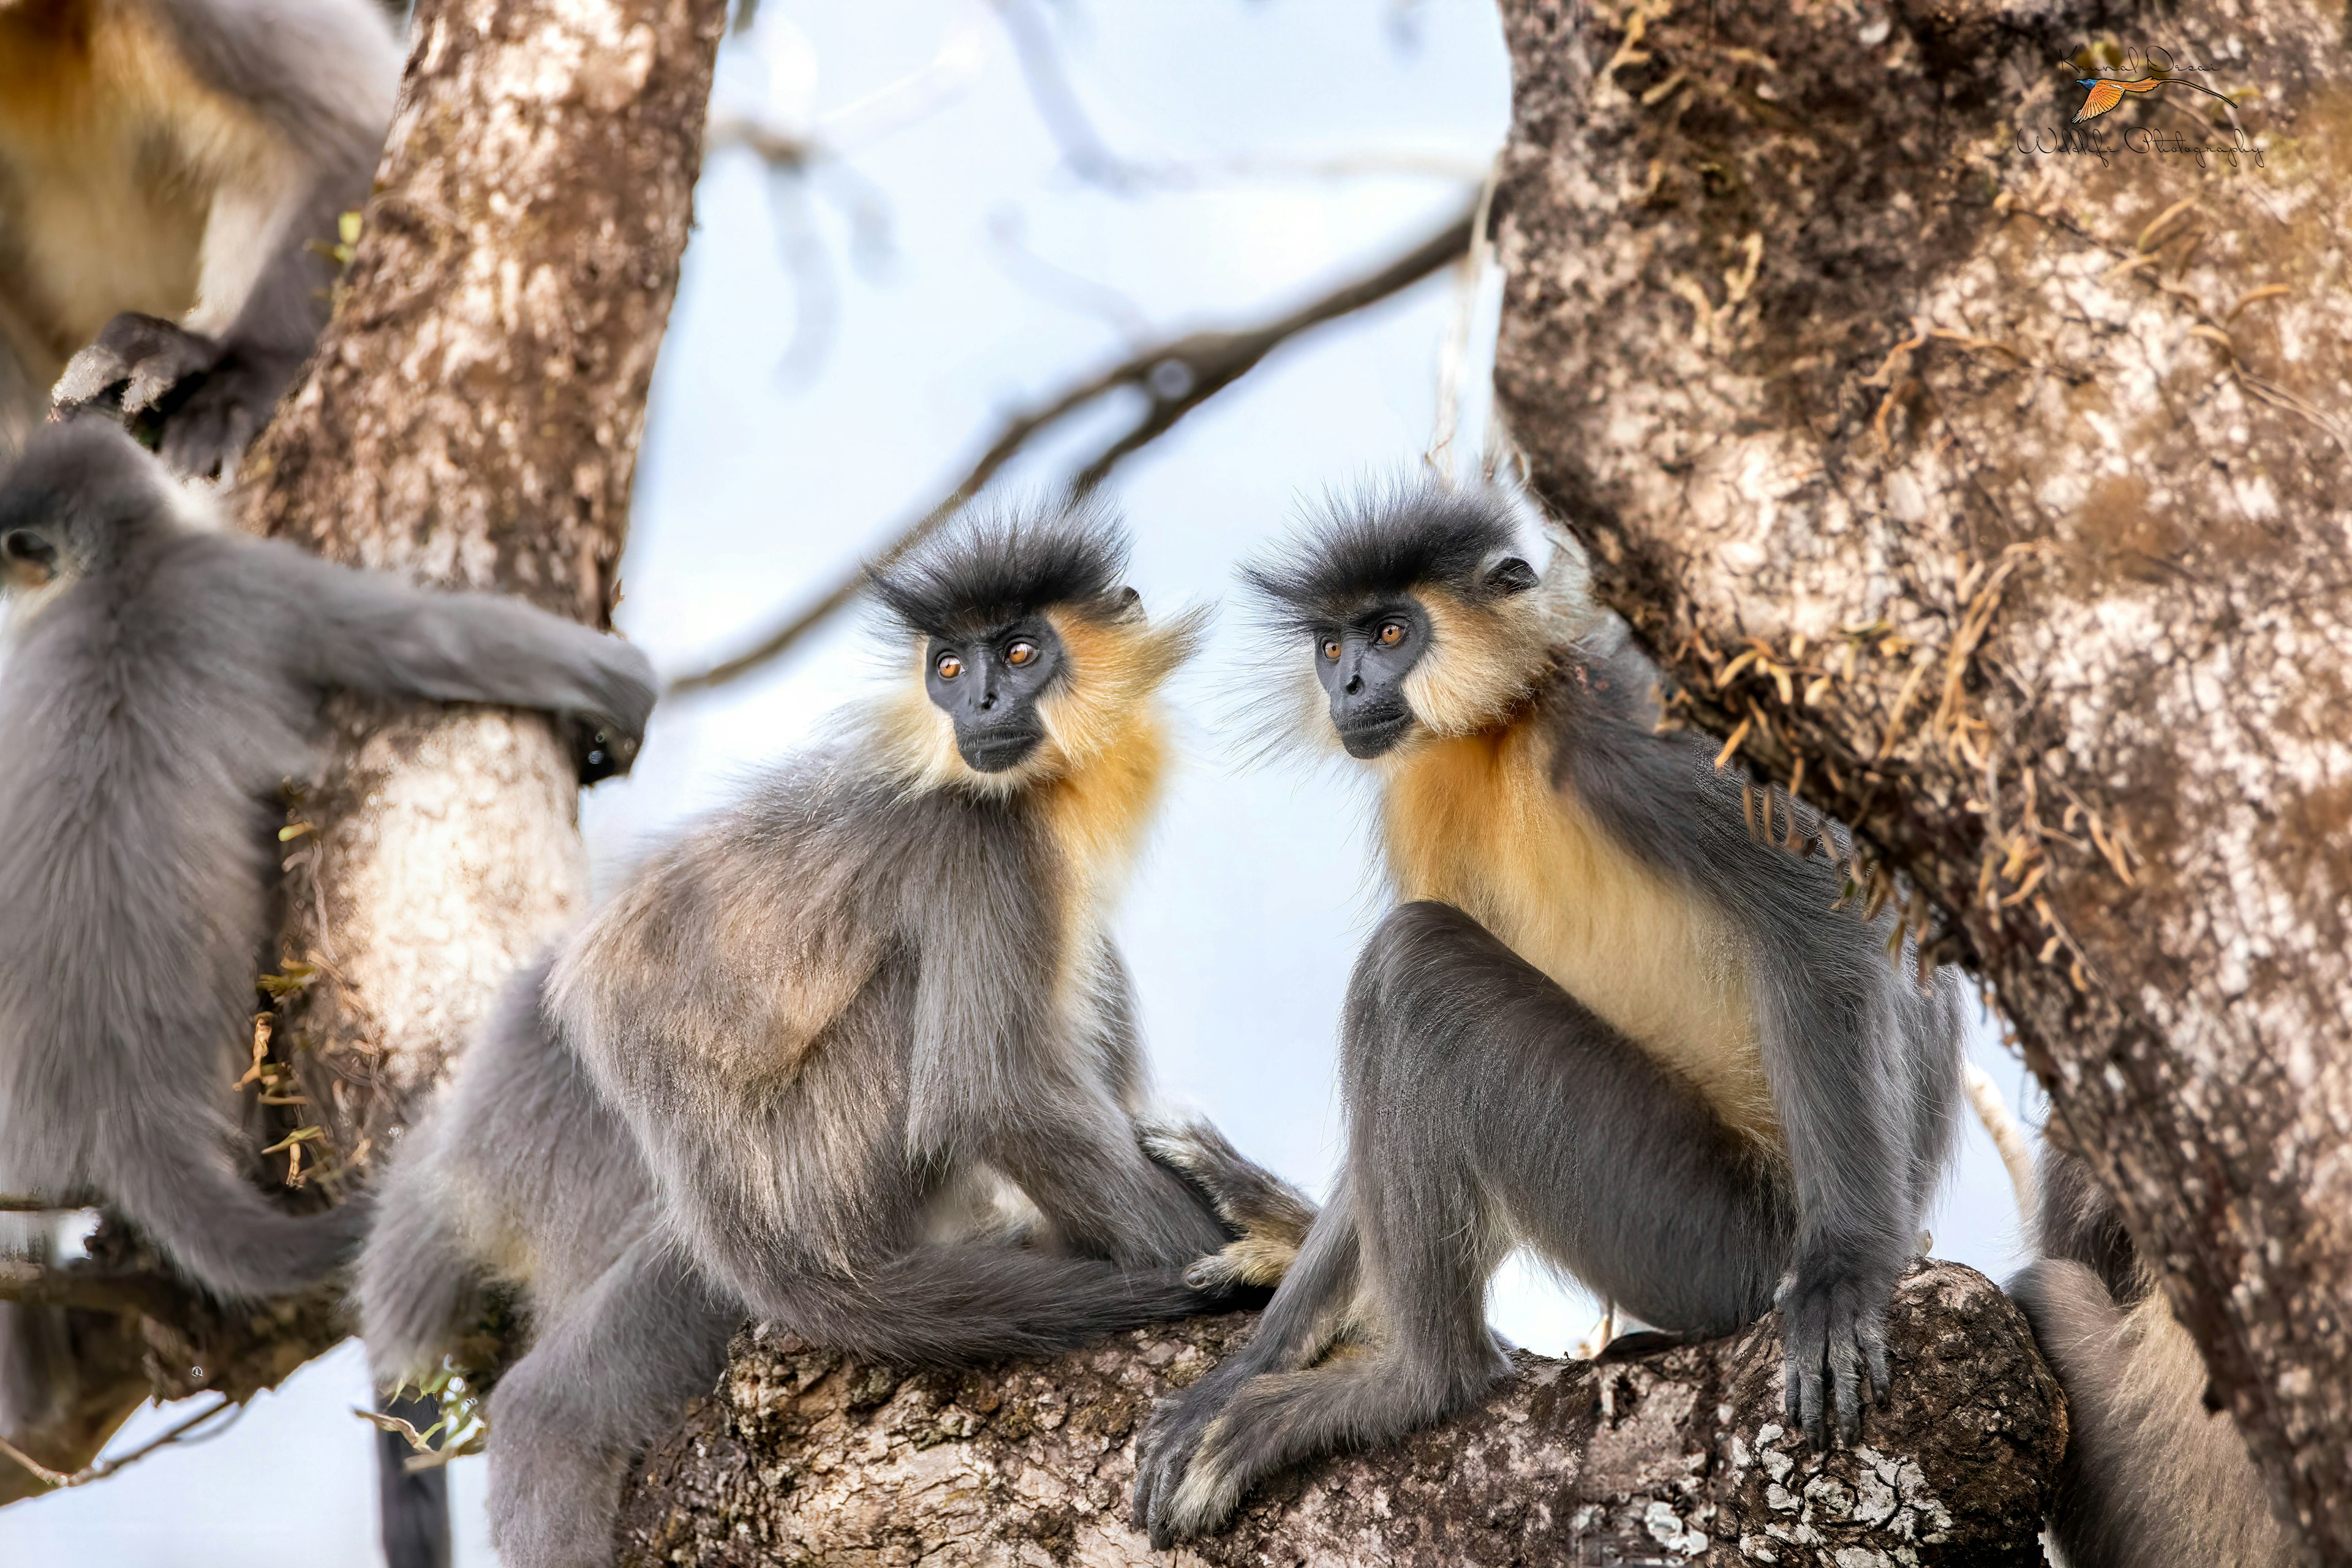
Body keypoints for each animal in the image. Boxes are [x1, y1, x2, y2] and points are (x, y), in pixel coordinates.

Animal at [357, 505, 1317, 1568]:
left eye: (1021, 652)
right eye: (949, 667)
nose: (980, 702)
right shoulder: (984, 841)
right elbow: (997, 1093)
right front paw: (1255, 1258)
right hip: (824, 1176)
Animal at [1129, 486, 1975, 1542]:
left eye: (1392, 631)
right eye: (1332, 645)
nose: (1350, 682)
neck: (1510, 723)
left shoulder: (1620, 714)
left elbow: (1824, 903)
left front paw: (1848, 1276)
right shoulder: (1421, 791)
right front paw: (1247, 1366)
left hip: (1705, 1229)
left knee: (1414, 972)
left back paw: (1419, 1383)